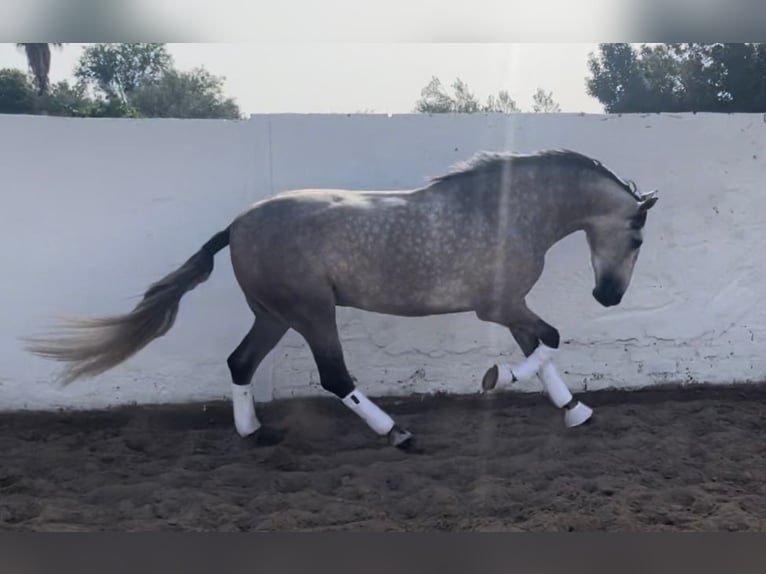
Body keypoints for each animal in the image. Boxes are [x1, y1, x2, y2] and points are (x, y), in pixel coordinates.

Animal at [25, 151, 660, 452]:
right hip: (311, 313)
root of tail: (236, 225)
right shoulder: (500, 305)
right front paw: (496, 378)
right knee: (334, 375)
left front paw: (575, 411)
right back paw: (397, 433)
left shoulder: (510, 306)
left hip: (274, 315)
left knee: (241, 363)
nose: (608, 296)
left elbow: (543, 350)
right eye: (637, 238)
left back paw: (255, 433)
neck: (507, 210)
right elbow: (547, 341)